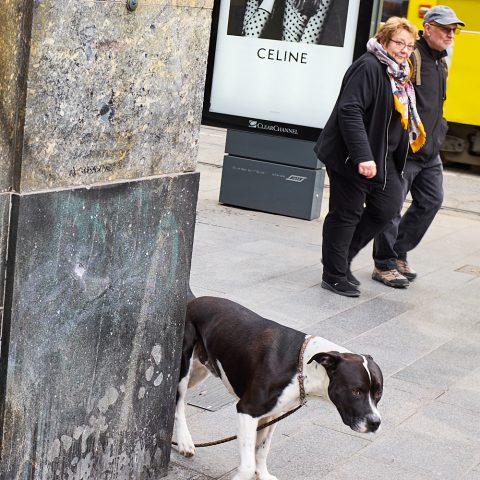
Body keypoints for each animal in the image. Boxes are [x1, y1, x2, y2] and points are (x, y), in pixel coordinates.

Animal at [175, 295, 383, 480]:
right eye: (356, 391)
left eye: (379, 393)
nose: (375, 423)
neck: (302, 367)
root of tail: (194, 300)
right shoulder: (247, 411)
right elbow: (247, 465)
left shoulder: (272, 415)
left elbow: (262, 450)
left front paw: (263, 474)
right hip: (184, 369)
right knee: (178, 403)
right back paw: (184, 441)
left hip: (199, 372)